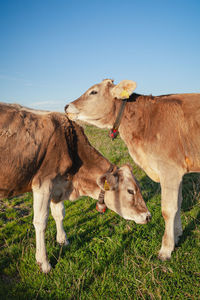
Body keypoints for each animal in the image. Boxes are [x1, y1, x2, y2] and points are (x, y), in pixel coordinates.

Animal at [0, 102, 150, 272]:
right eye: (130, 191)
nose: (148, 216)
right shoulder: (43, 183)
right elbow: (41, 221)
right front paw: (44, 262)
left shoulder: (57, 185)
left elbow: (59, 213)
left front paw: (63, 240)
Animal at [65, 79, 200, 260]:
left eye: (93, 92)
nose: (66, 106)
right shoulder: (175, 173)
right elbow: (178, 205)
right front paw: (177, 236)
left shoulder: (169, 170)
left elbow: (168, 210)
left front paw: (165, 250)